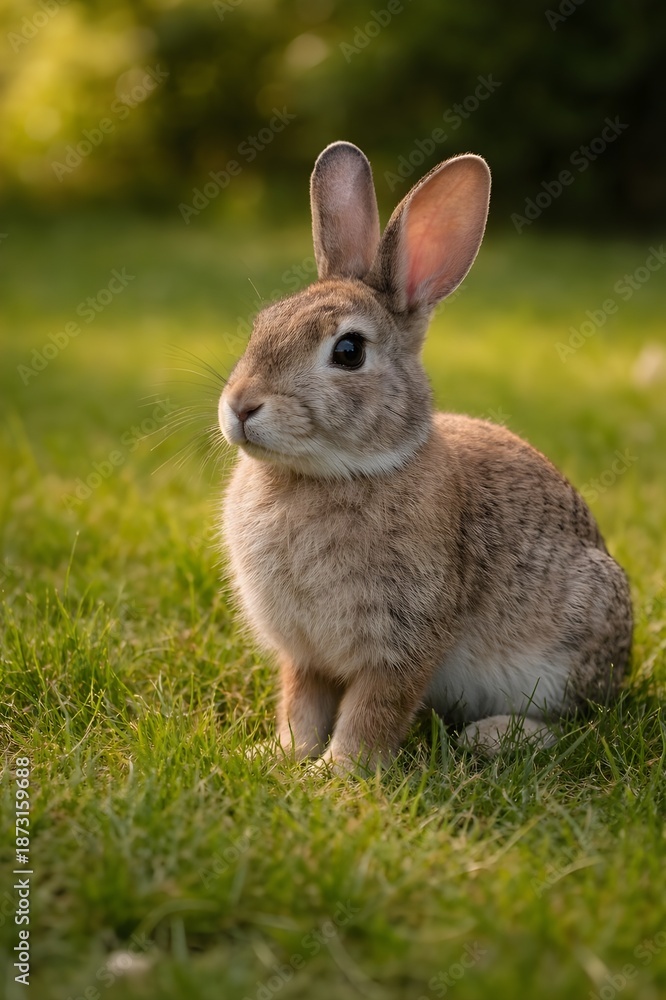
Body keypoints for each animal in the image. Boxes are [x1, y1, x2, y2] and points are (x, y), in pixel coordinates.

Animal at [218, 140, 633, 771]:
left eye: (348, 351)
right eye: (261, 325)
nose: (240, 406)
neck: (324, 474)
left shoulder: (403, 639)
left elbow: (372, 712)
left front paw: (338, 774)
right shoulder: (305, 654)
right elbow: (302, 705)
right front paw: (278, 756)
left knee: (575, 722)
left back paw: (495, 736)